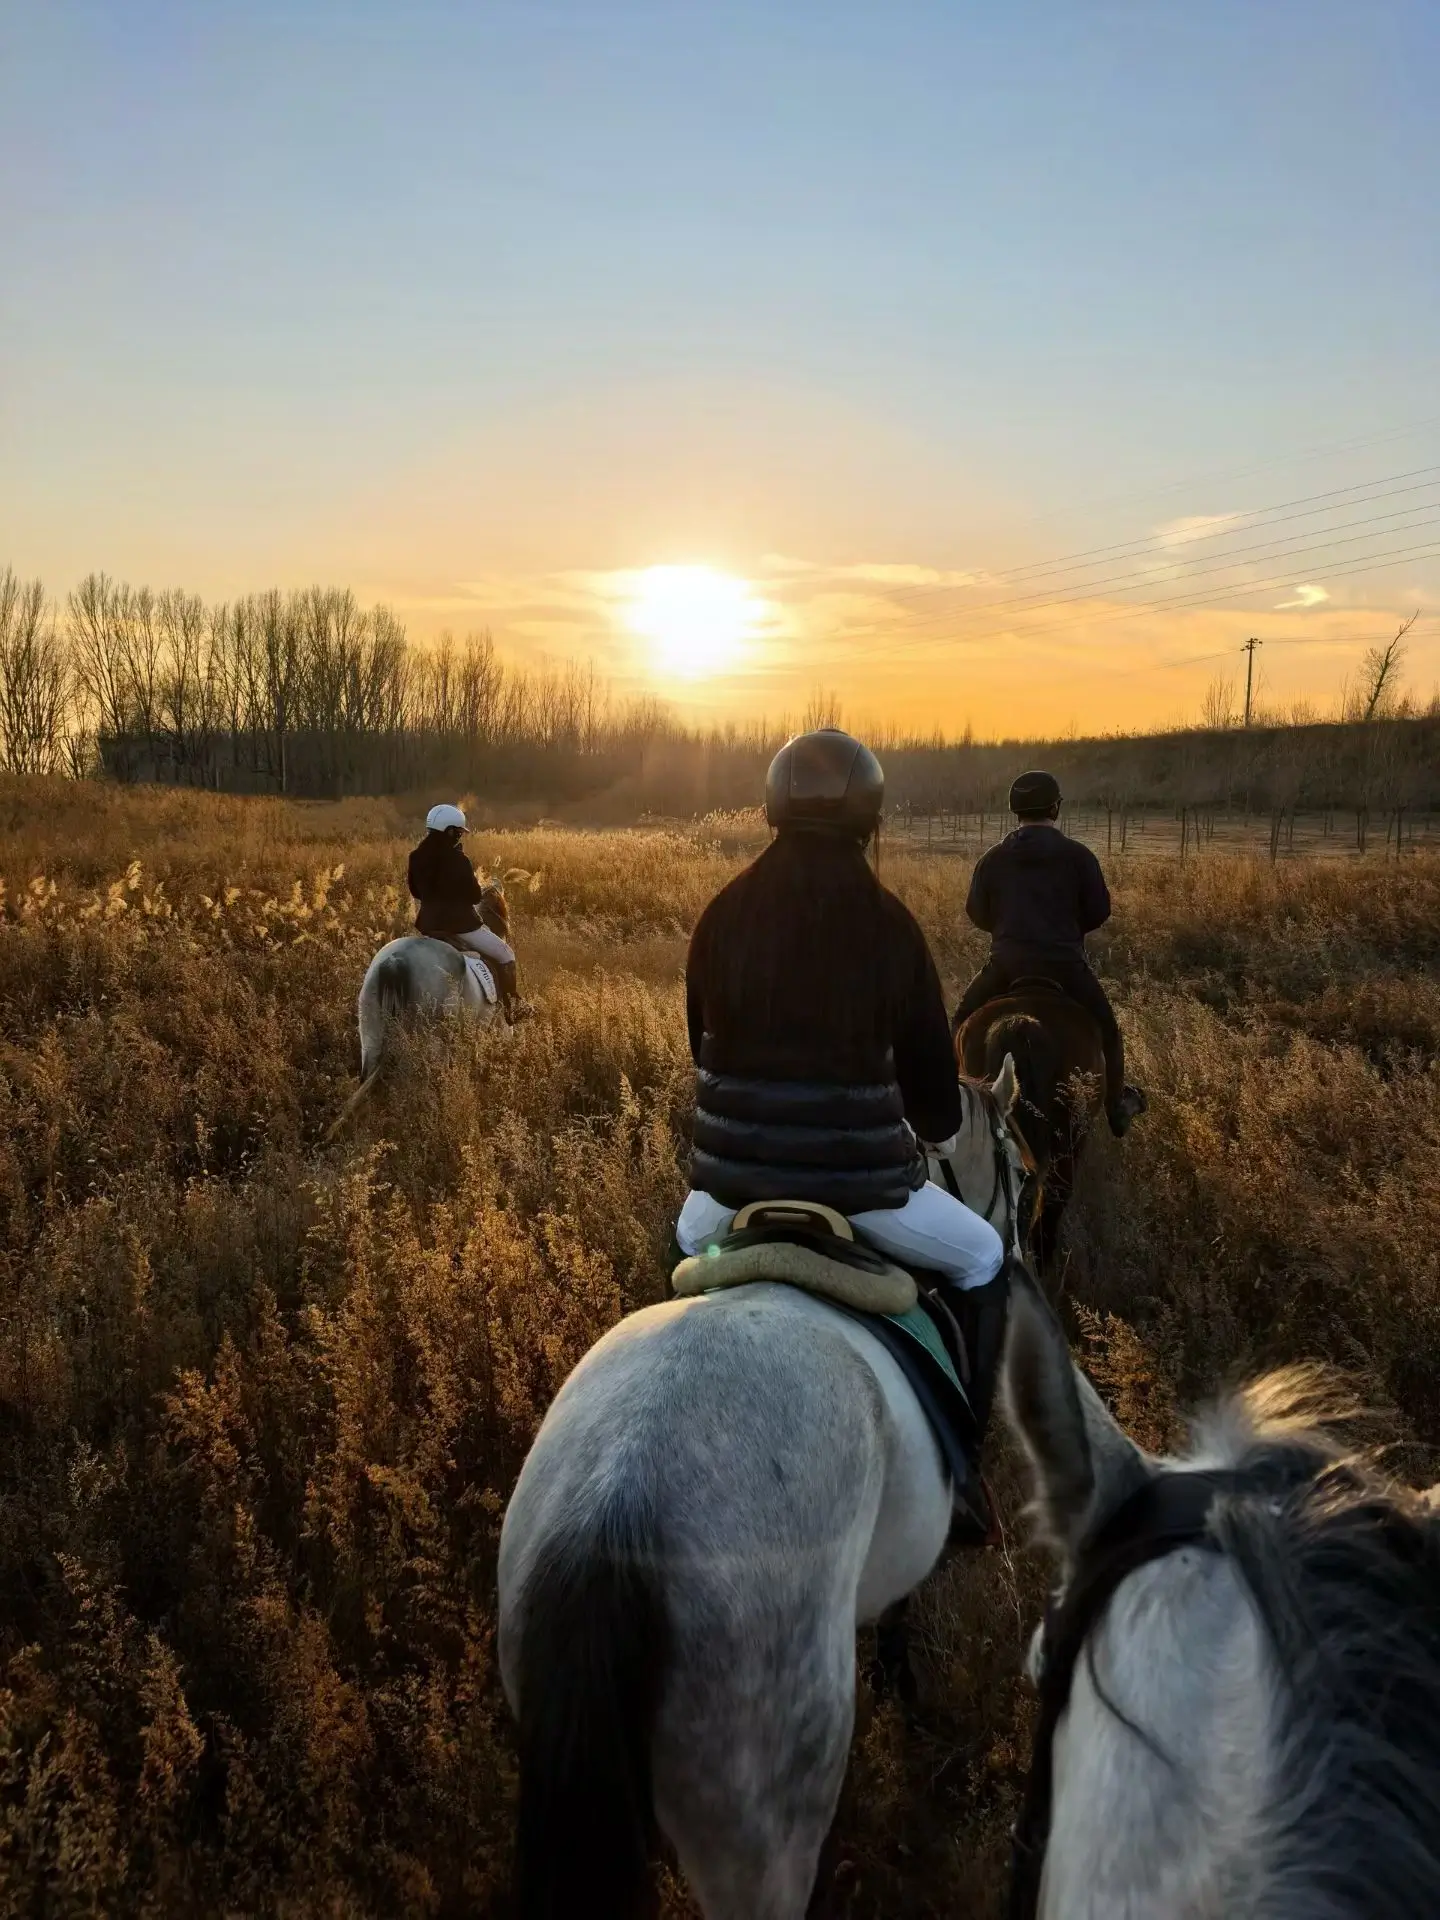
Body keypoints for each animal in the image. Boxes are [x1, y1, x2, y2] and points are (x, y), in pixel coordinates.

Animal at [498, 1064, 1031, 1920]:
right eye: (1017, 1169)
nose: (1021, 1253)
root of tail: (617, 1509)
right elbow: (900, 1621)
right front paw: (906, 1697)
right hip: (758, 1822)